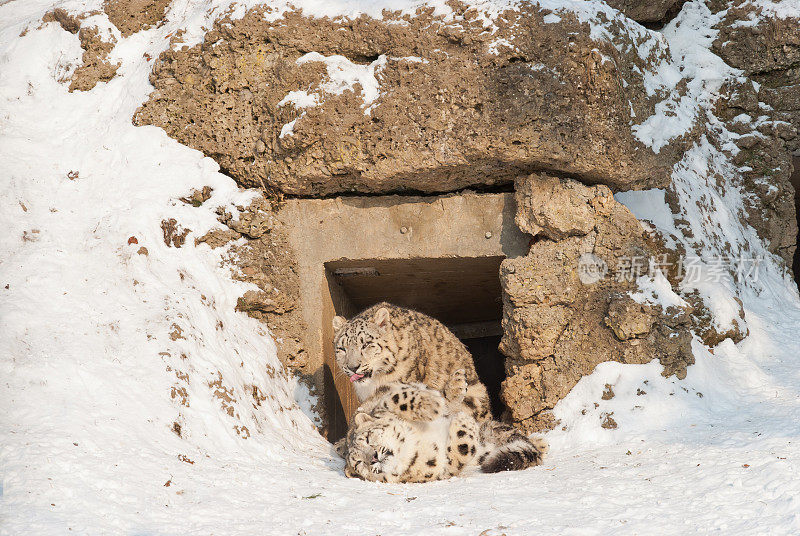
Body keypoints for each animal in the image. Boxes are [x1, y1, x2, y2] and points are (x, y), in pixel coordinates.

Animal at [334, 374, 548, 484]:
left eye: (368, 438)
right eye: (359, 464)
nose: (373, 457)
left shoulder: (381, 403)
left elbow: (396, 399)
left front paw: (431, 405)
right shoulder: (440, 469)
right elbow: (460, 451)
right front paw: (463, 423)